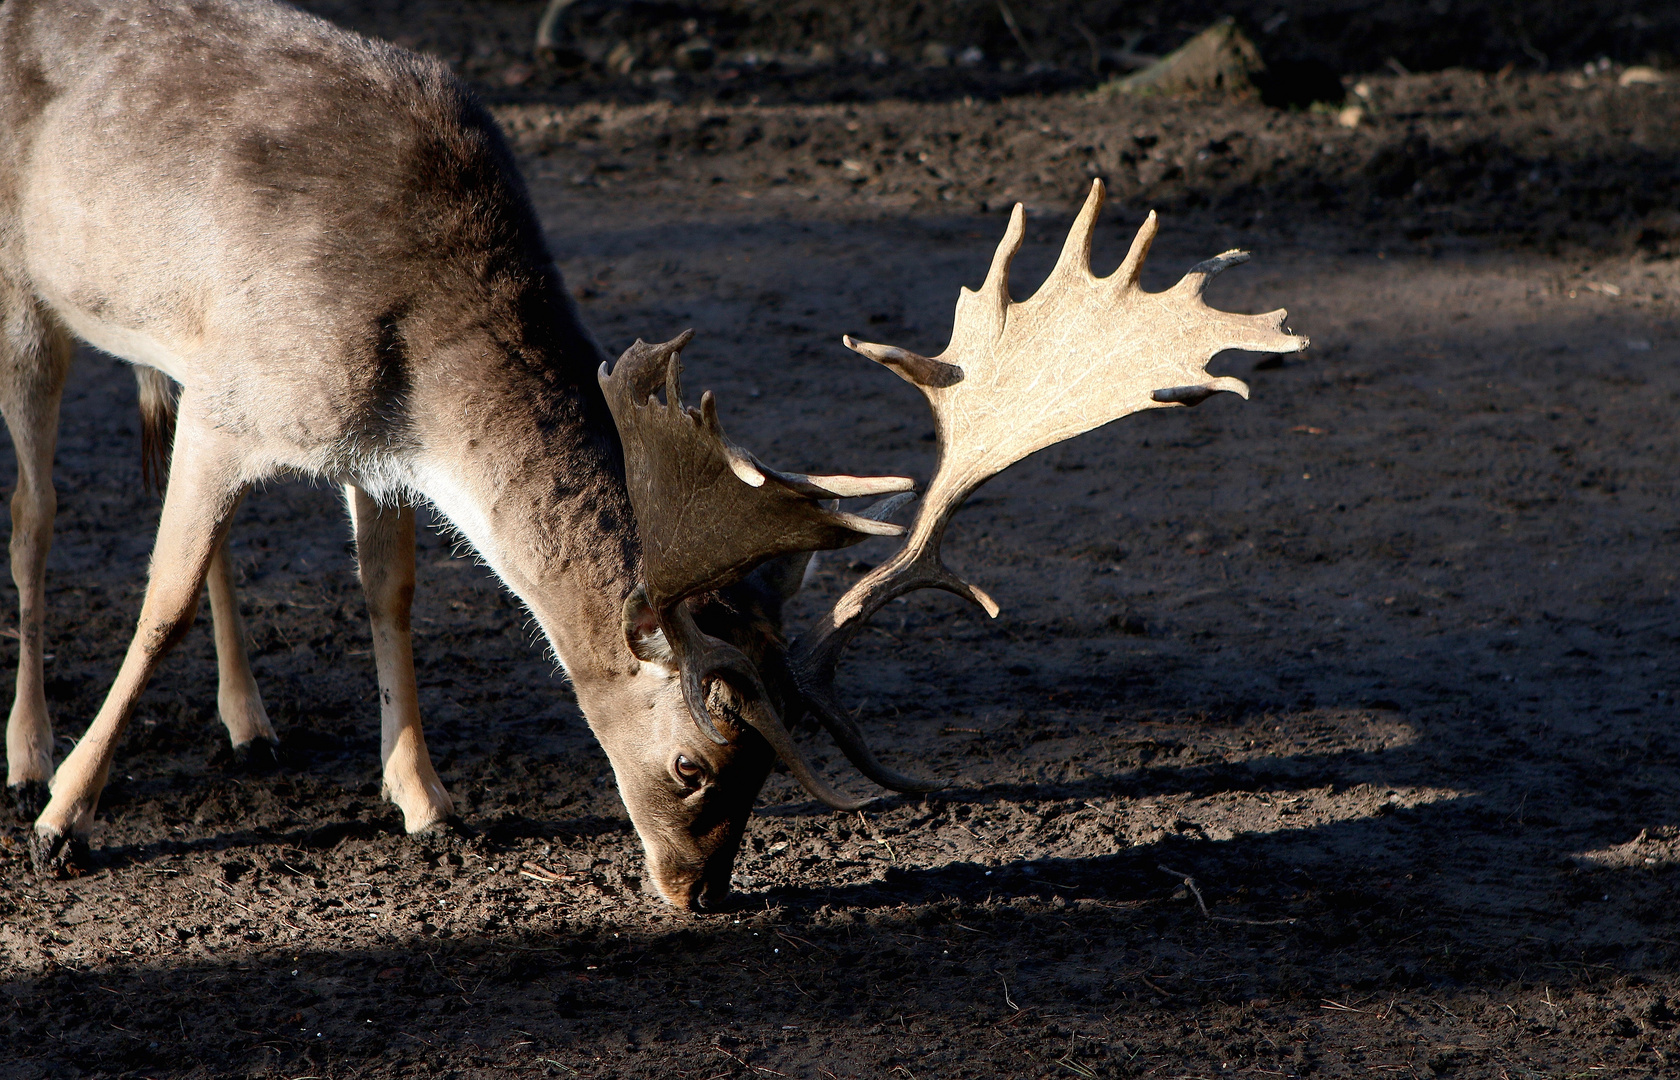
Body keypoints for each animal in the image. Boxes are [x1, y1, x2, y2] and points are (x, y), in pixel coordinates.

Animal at [0, 0, 1303, 913]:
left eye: (772, 777)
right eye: (691, 766)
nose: (699, 892)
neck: (415, 356)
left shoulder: (361, 450)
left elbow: (391, 595)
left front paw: (428, 802)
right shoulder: (243, 401)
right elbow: (160, 598)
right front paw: (68, 822)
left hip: (161, 354)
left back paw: (250, 723)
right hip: (30, 303)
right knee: (39, 508)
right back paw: (27, 756)